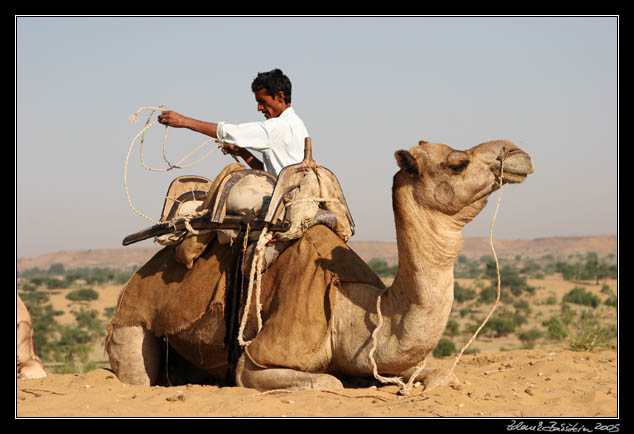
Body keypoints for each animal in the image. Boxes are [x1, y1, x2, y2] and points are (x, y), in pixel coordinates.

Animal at [106, 138, 532, 390]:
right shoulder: (257, 361)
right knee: (136, 374)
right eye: (458, 163)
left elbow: (440, 375)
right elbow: (329, 383)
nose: (516, 152)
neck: (352, 312)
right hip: (130, 320)